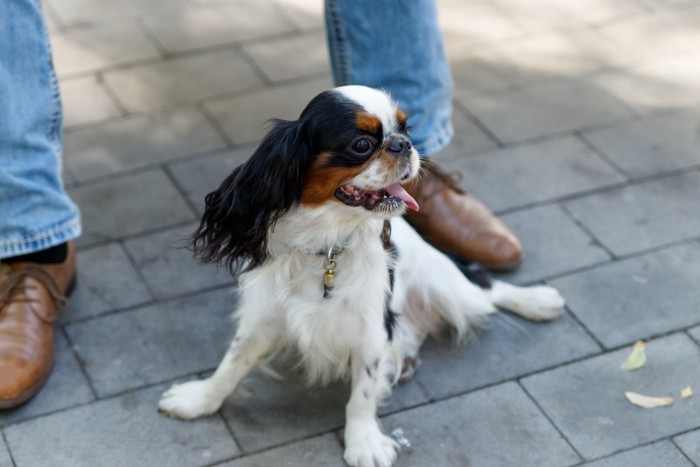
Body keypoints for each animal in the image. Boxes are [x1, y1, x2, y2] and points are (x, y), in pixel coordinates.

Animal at [159, 86, 564, 466]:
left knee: (488, 287)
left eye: (406, 129)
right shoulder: (262, 316)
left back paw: (538, 300)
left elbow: (362, 394)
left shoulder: (371, 330)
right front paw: (199, 399)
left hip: (449, 285)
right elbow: (232, 363)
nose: (404, 144)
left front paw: (364, 443)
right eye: (362, 145)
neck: (327, 246)